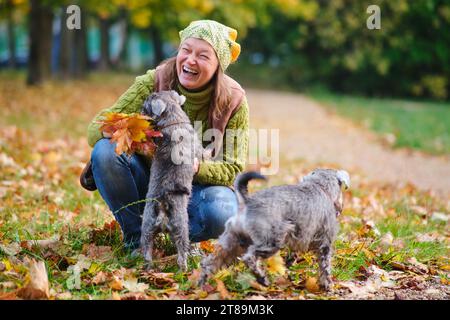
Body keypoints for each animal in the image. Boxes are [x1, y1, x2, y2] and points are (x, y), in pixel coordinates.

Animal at [141, 91, 206, 272]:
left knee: (147, 253)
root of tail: (162, 204)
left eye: (145, 105)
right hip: (181, 229)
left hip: (147, 229)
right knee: (181, 256)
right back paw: (184, 271)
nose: (140, 111)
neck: (173, 120)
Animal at [200, 170, 352, 290]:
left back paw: (201, 285)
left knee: (209, 263)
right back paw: (262, 279)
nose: (341, 207)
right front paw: (327, 285)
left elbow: (293, 255)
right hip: (271, 241)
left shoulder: (298, 239)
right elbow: (325, 267)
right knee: (249, 258)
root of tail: (247, 203)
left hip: (231, 242)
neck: (320, 187)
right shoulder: (325, 243)